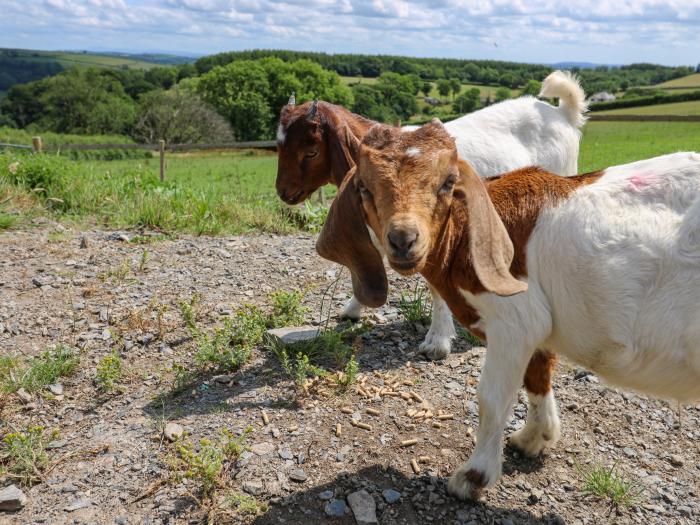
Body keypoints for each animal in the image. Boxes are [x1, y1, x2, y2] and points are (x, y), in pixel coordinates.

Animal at [316, 122, 700, 500]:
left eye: (448, 182)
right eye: (364, 187)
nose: (403, 239)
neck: (468, 230)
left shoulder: (514, 320)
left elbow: (491, 398)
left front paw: (473, 477)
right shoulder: (537, 328)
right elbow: (537, 376)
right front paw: (534, 437)